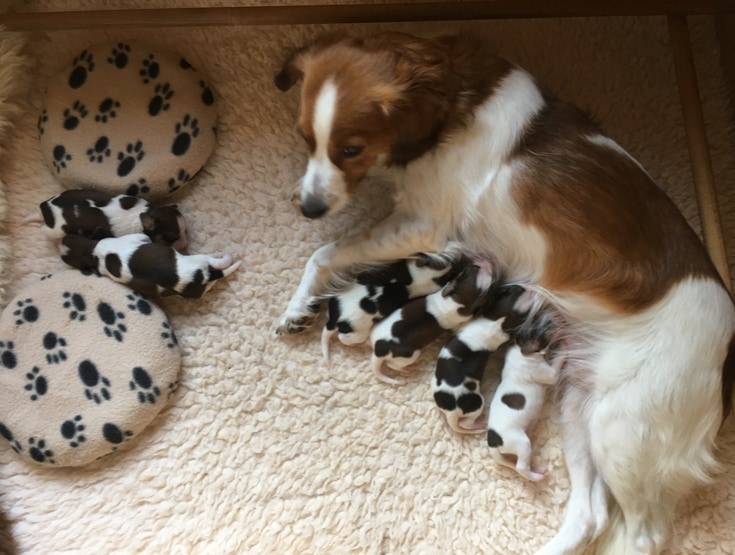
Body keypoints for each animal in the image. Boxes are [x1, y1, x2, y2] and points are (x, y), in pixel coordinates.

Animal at [24, 189, 187, 251]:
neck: (148, 211)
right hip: (56, 230)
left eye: (185, 231)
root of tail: (47, 209)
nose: (184, 244)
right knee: (43, 230)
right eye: (171, 237)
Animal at [60, 233, 240, 298]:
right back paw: (228, 257)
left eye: (70, 236)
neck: (93, 254)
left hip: (195, 290)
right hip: (198, 260)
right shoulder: (136, 236)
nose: (61, 241)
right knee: (216, 264)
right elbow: (145, 236)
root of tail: (199, 278)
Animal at [321, 251, 463, 362]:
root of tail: (336, 320)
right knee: (344, 338)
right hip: (359, 333)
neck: (425, 272)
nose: (458, 256)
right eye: (453, 271)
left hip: (334, 300)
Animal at [432, 284, 531, 434]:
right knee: (466, 422)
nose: (528, 288)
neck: (499, 319)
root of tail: (452, 413)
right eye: (518, 290)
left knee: (466, 422)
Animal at [486, 316, 561, 482]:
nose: (552, 318)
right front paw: (563, 346)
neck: (519, 348)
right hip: (521, 442)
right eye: (543, 331)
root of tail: (493, 442)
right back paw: (536, 476)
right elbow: (558, 360)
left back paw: (538, 469)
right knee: (521, 467)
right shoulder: (549, 374)